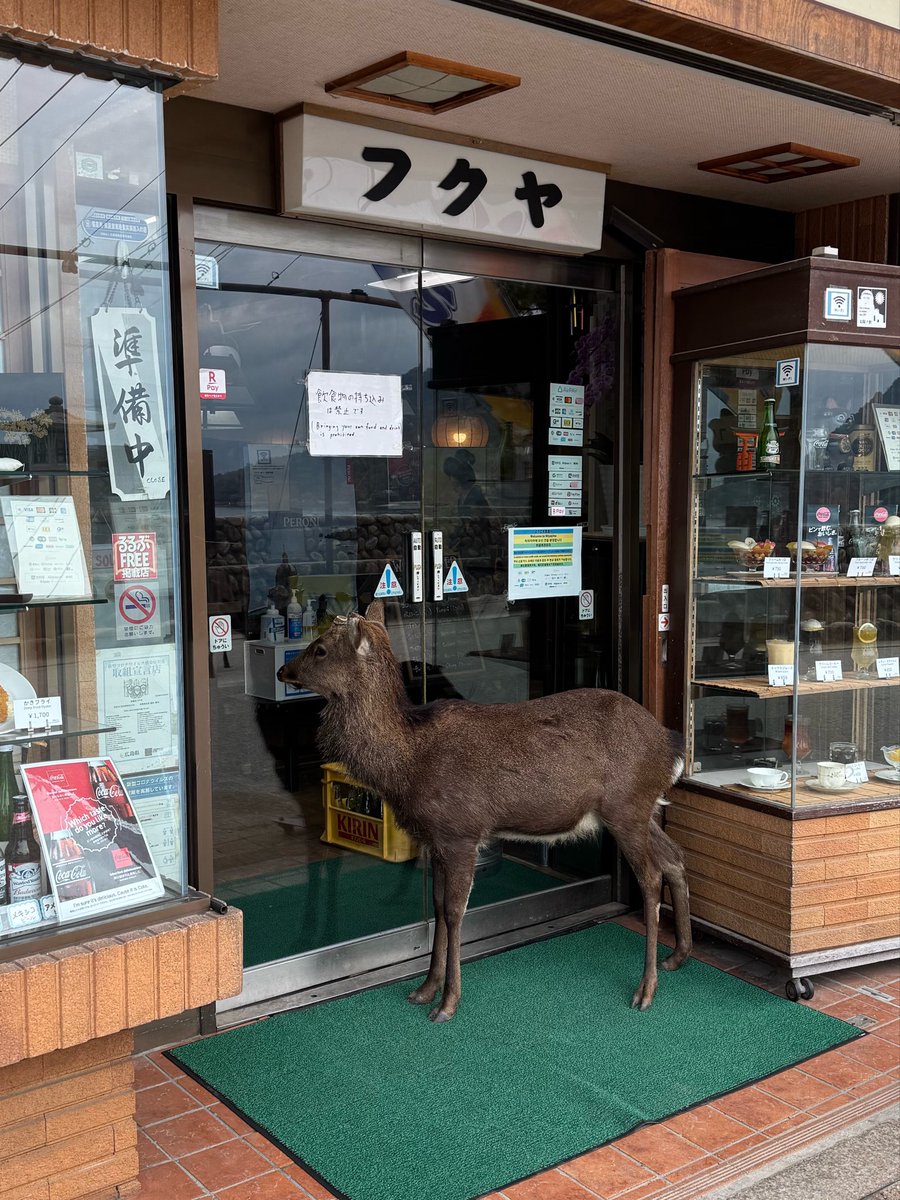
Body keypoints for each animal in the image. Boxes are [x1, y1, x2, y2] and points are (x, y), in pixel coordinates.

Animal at [277, 600, 691, 1023]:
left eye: (320, 649)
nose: (284, 671)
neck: (407, 763)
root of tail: (671, 746)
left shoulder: (460, 831)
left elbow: (455, 912)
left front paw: (447, 1002)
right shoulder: (436, 839)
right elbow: (438, 908)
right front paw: (424, 989)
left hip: (625, 806)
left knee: (651, 876)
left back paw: (646, 989)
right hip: (642, 810)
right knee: (674, 856)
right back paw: (678, 956)